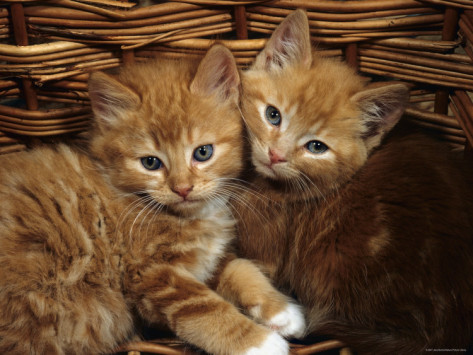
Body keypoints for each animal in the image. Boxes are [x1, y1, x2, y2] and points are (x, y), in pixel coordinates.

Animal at [0, 46, 302, 354]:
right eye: (150, 163)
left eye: (203, 152)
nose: (182, 188)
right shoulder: (150, 274)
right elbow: (202, 307)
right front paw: (259, 343)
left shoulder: (207, 262)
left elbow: (239, 267)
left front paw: (282, 312)